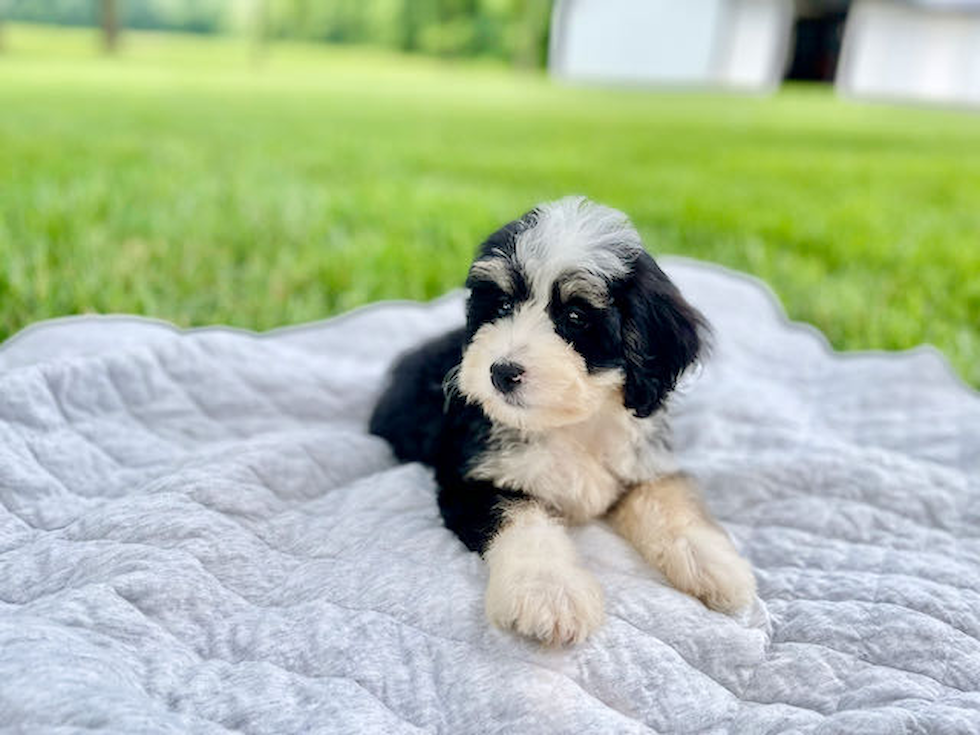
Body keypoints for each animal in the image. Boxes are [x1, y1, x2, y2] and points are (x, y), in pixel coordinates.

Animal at [372, 198, 756, 648]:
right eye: (503, 306)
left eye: (574, 316)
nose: (501, 372)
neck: (571, 426)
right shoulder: (473, 478)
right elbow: (522, 519)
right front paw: (547, 592)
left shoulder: (641, 461)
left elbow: (667, 500)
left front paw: (711, 561)